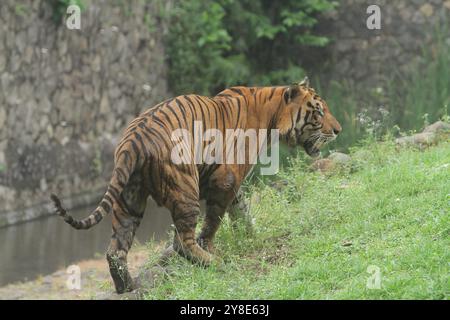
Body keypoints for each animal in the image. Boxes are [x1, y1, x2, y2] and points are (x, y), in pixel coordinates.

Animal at [50, 77, 342, 292]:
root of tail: (134, 138)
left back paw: (127, 286)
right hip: (185, 188)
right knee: (181, 241)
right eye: (318, 112)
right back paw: (214, 263)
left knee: (115, 250)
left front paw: (252, 236)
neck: (271, 117)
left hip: (129, 198)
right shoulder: (226, 180)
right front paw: (215, 247)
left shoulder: (233, 184)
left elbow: (242, 211)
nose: (338, 130)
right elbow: (214, 221)